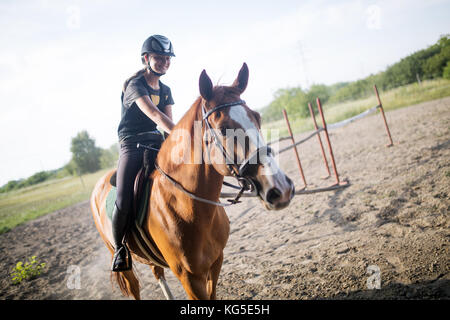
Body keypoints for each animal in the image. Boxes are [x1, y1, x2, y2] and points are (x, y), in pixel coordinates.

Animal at [91, 63, 296, 300]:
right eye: (224, 128)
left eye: (257, 117)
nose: (281, 189)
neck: (187, 206)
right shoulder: (189, 277)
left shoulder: (215, 263)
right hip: (123, 263)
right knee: (134, 287)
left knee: (157, 272)